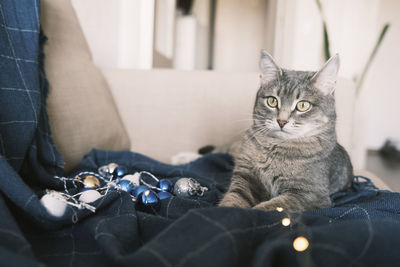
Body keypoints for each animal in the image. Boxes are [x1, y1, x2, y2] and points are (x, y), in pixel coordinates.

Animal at [219, 51, 354, 213]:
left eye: (303, 105)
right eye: (272, 101)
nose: (281, 121)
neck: (274, 149)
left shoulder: (310, 194)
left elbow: (270, 207)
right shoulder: (245, 177)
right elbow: (233, 199)